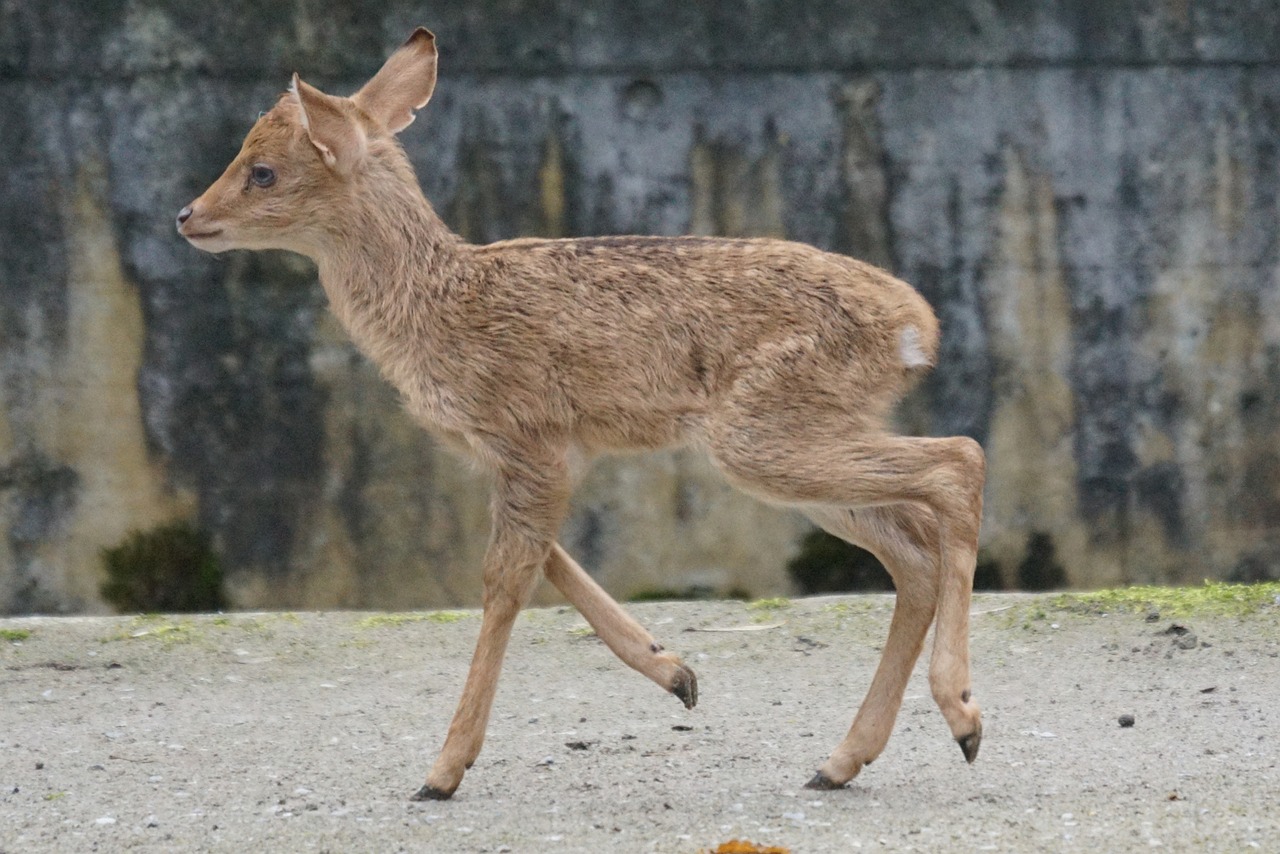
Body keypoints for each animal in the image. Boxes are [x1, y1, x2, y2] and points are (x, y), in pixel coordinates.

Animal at [175, 28, 983, 804]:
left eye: (262, 170)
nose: (188, 216)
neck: (437, 305)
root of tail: (917, 328)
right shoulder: (529, 452)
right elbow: (549, 561)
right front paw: (677, 673)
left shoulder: (526, 435)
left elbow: (504, 580)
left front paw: (442, 770)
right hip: (805, 436)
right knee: (913, 549)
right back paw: (841, 762)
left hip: (760, 432)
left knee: (959, 461)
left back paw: (963, 717)